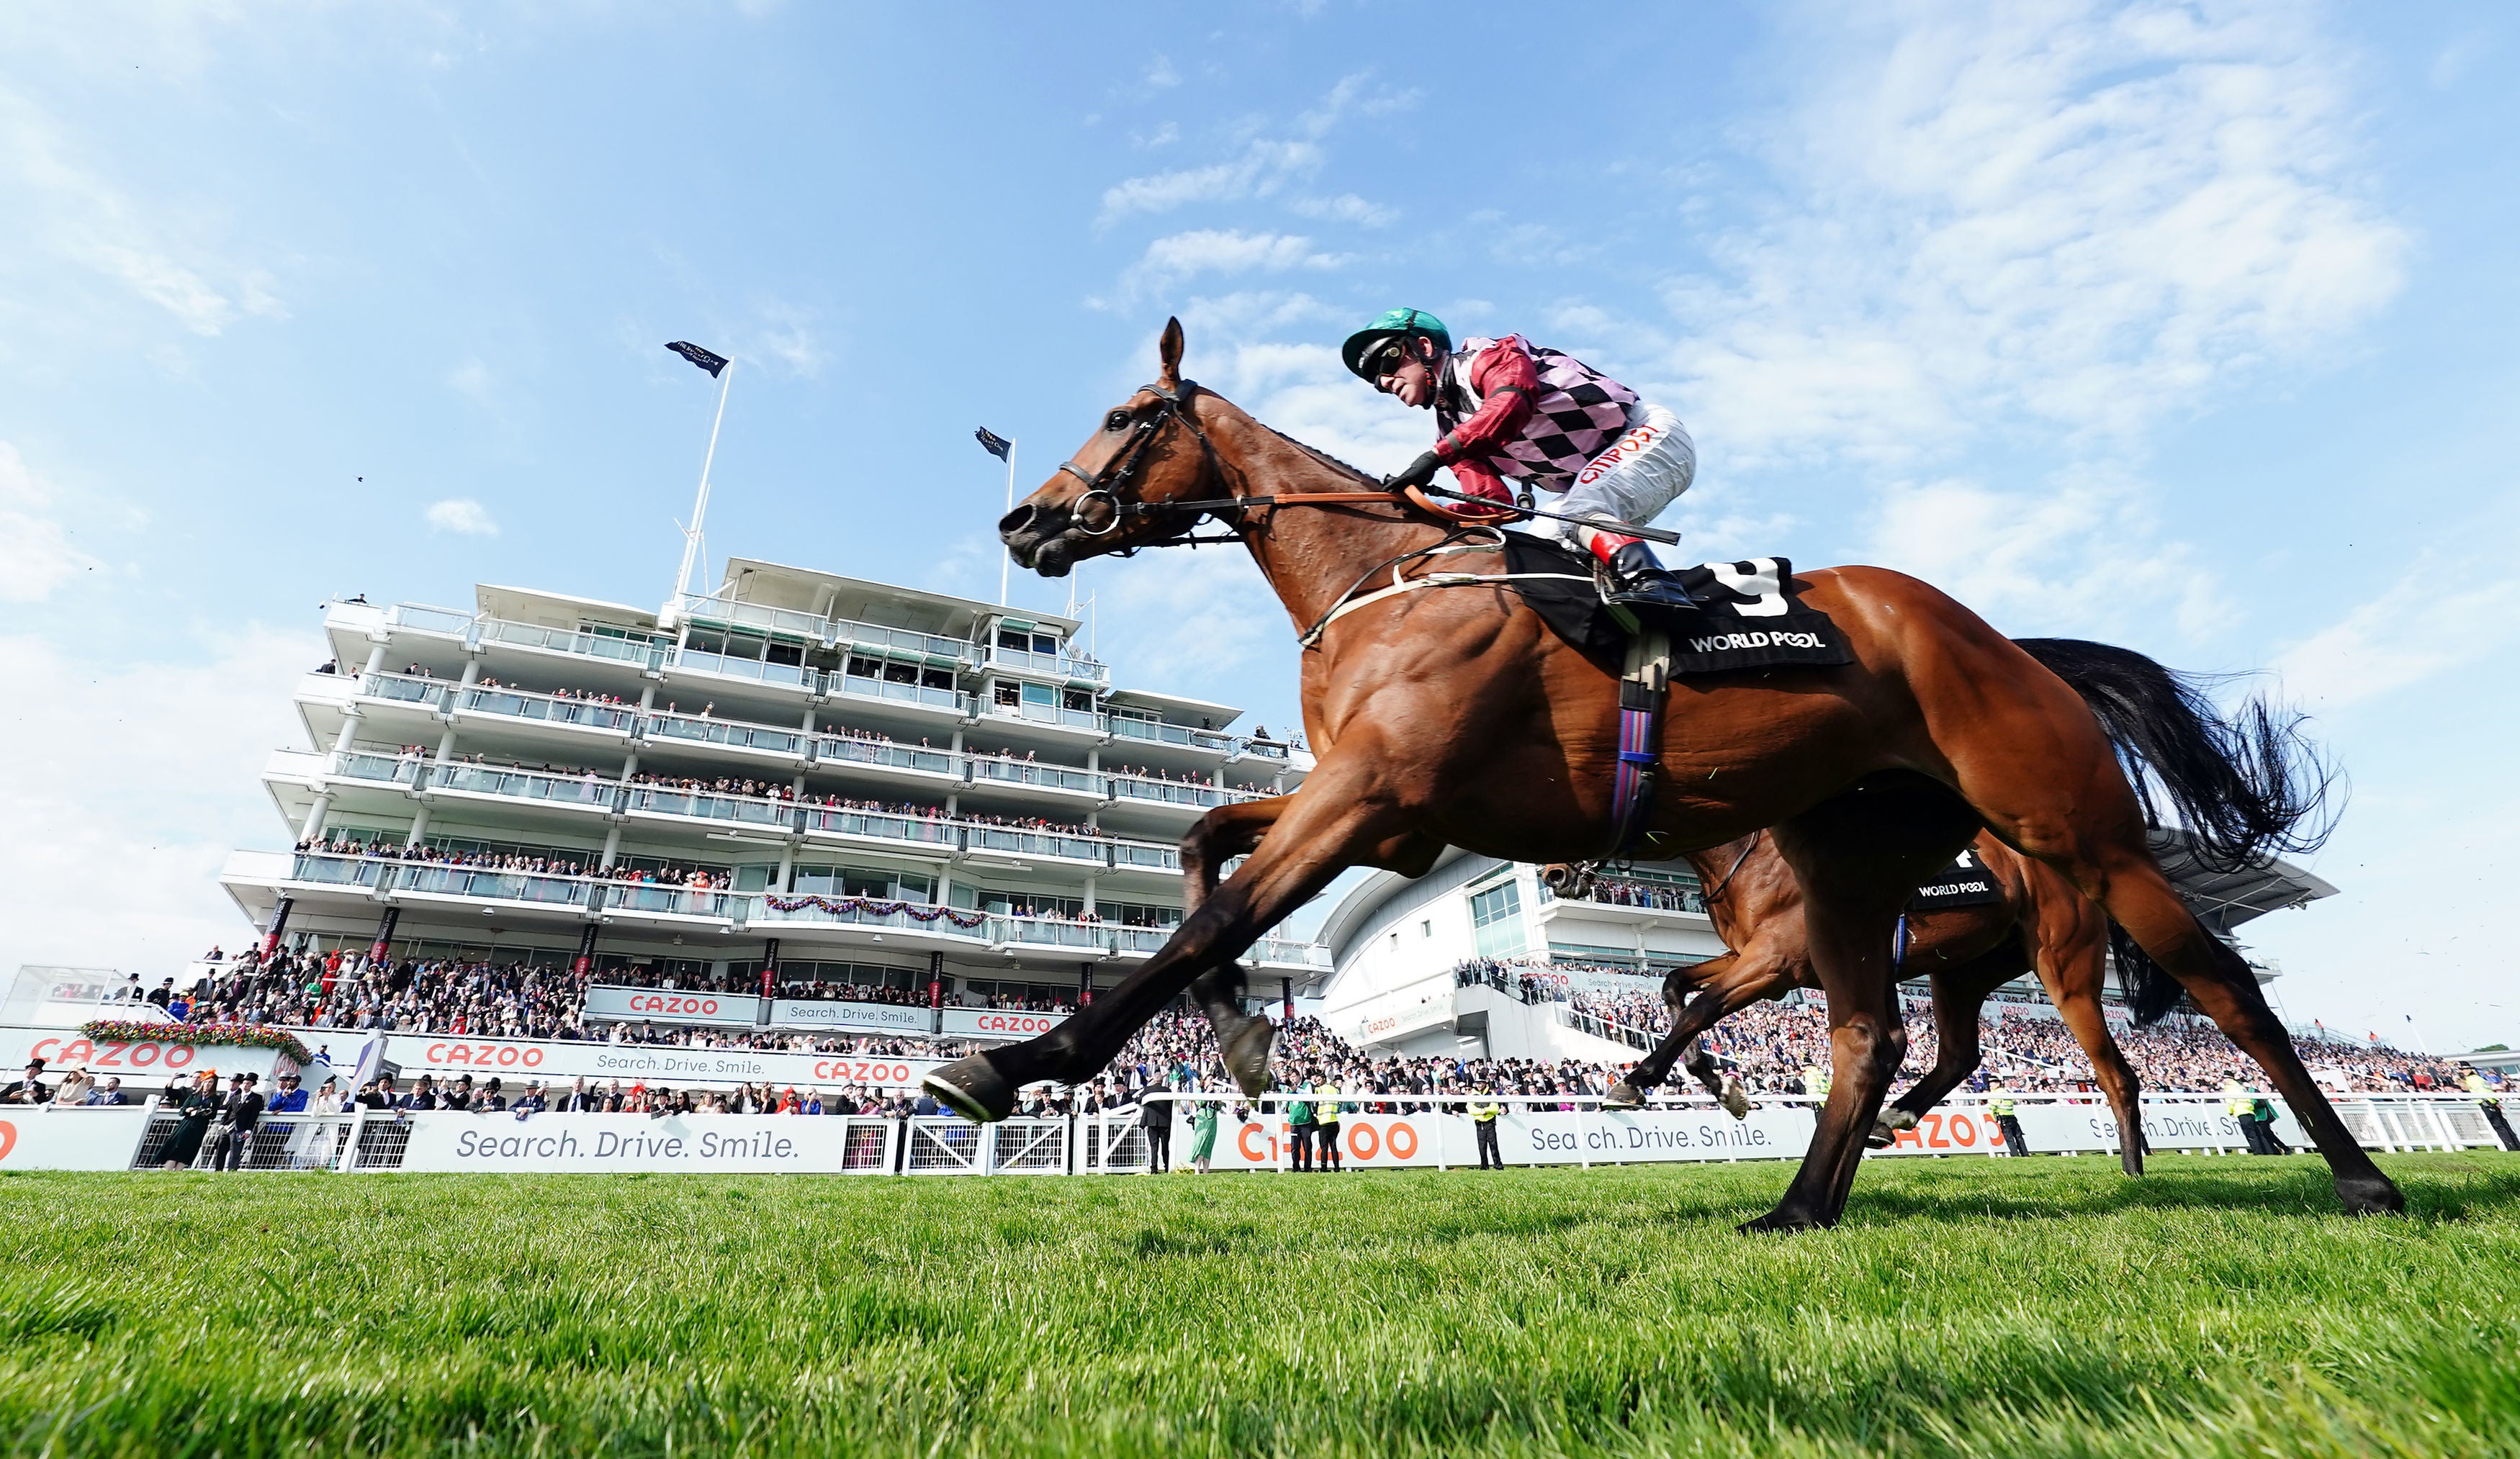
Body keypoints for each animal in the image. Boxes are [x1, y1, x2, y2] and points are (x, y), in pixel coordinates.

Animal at [932, 320, 2399, 1234]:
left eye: (1127, 414)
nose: (1026, 518)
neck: (1386, 572)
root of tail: (2005, 643)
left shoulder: (1377, 798)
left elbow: (1211, 915)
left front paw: (1009, 1062)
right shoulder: (1378, 808)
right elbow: (1196, 851)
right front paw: (1238, 1033)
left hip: (2077, 842)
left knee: (2219, 999)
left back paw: (2357, 1177)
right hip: (1858, 864)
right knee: (1878, 1034)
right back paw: (1803, 1202)